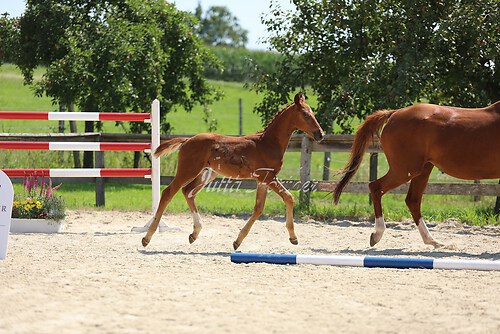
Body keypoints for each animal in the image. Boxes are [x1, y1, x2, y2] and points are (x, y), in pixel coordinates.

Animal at [143, 92, 326, 249]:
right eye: (305, 114)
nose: (320, 134)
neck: (268, 143)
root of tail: (187, 140)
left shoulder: (262, 181)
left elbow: (258, 208)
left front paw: (237, 241)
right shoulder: (268, 177)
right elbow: (288, 198)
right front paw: (293, 237)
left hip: (207, 173)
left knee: (188, 191)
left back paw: (194, 233)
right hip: (188, 170)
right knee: (169, 192)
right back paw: (147, 237)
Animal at [332, 100, 500, 247]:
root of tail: (394, 113)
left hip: (422, 169)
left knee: (412, 200)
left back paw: (432, 241)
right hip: (405, 170)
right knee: (376, 187)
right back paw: (377, 234)